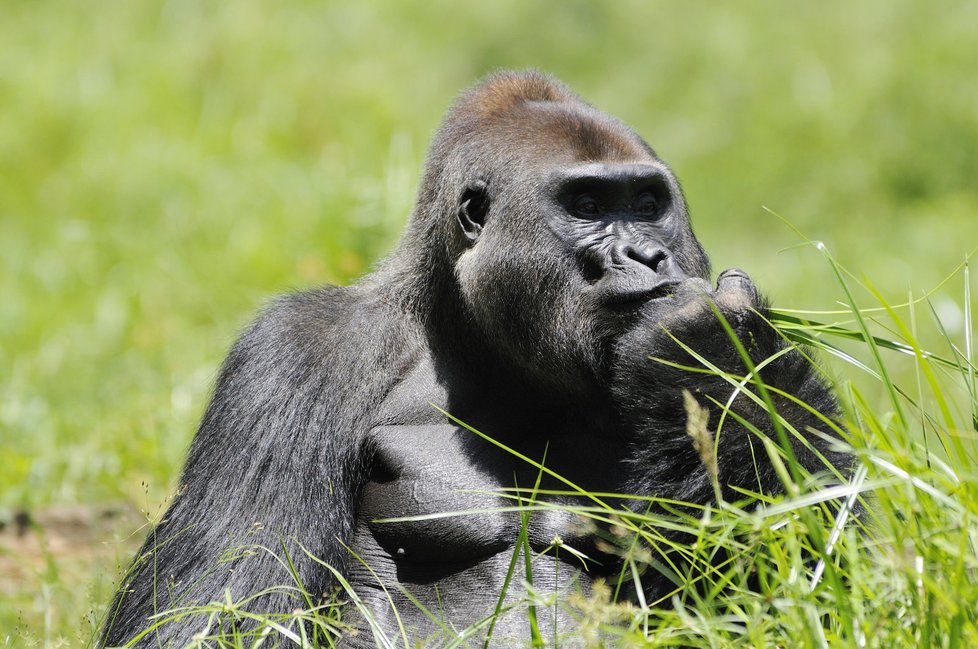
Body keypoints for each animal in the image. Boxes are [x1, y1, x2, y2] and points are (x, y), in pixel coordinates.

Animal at [97, 71, 848, 648]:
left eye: (646, 202)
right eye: (585, 204)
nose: (648, 255)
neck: (481, 352)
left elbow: (813, 578)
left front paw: (722, 360)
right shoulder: (296, 353)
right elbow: (217, 608)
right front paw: (711, 353)